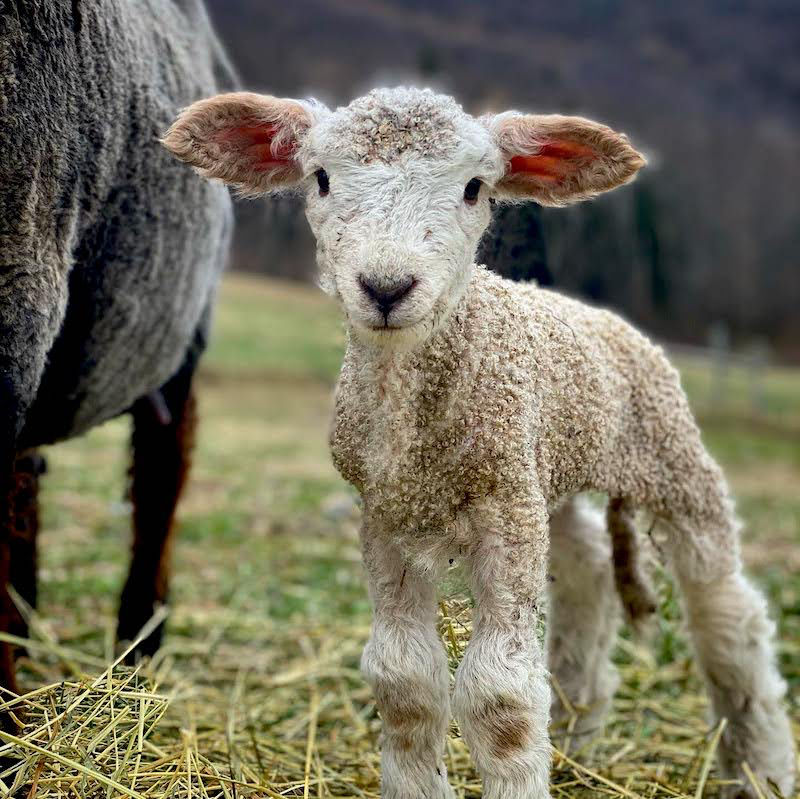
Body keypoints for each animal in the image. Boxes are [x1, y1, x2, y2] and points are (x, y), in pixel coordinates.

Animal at [164, 86, 796, 799]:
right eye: (321, 178)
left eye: (473, 188)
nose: (387, 288)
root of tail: (610, 322)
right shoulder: (389, 513)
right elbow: (403, 680)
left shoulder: (504, 511)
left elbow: (502, 698)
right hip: (546, 475)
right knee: (587, 569)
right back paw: (576, 726)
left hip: (669, 458)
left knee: (729, 614)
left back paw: (761, 763)